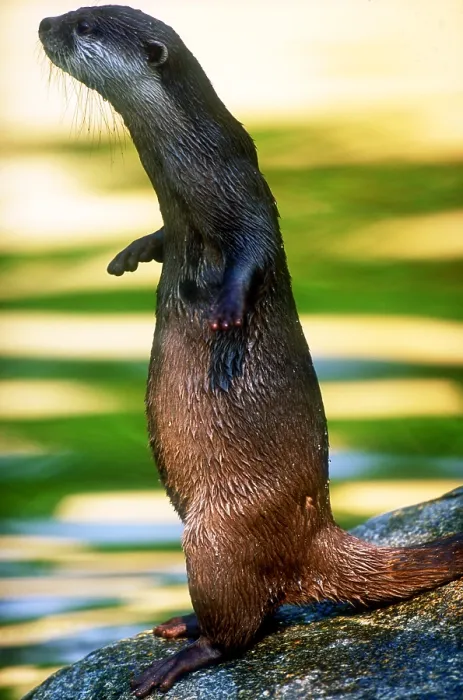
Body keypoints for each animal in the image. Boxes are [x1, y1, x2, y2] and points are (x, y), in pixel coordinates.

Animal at [39, 6, 463, 696]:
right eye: (76, 12)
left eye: (85, 28)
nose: (46, 22)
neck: (194, 181)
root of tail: (315, 538)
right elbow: (160, 238)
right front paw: (132, 253)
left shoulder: (249, 201)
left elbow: (253, 255)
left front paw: (228, 311)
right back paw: (180, 625)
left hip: (214, 539)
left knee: (241, 626)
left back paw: (183, 655)